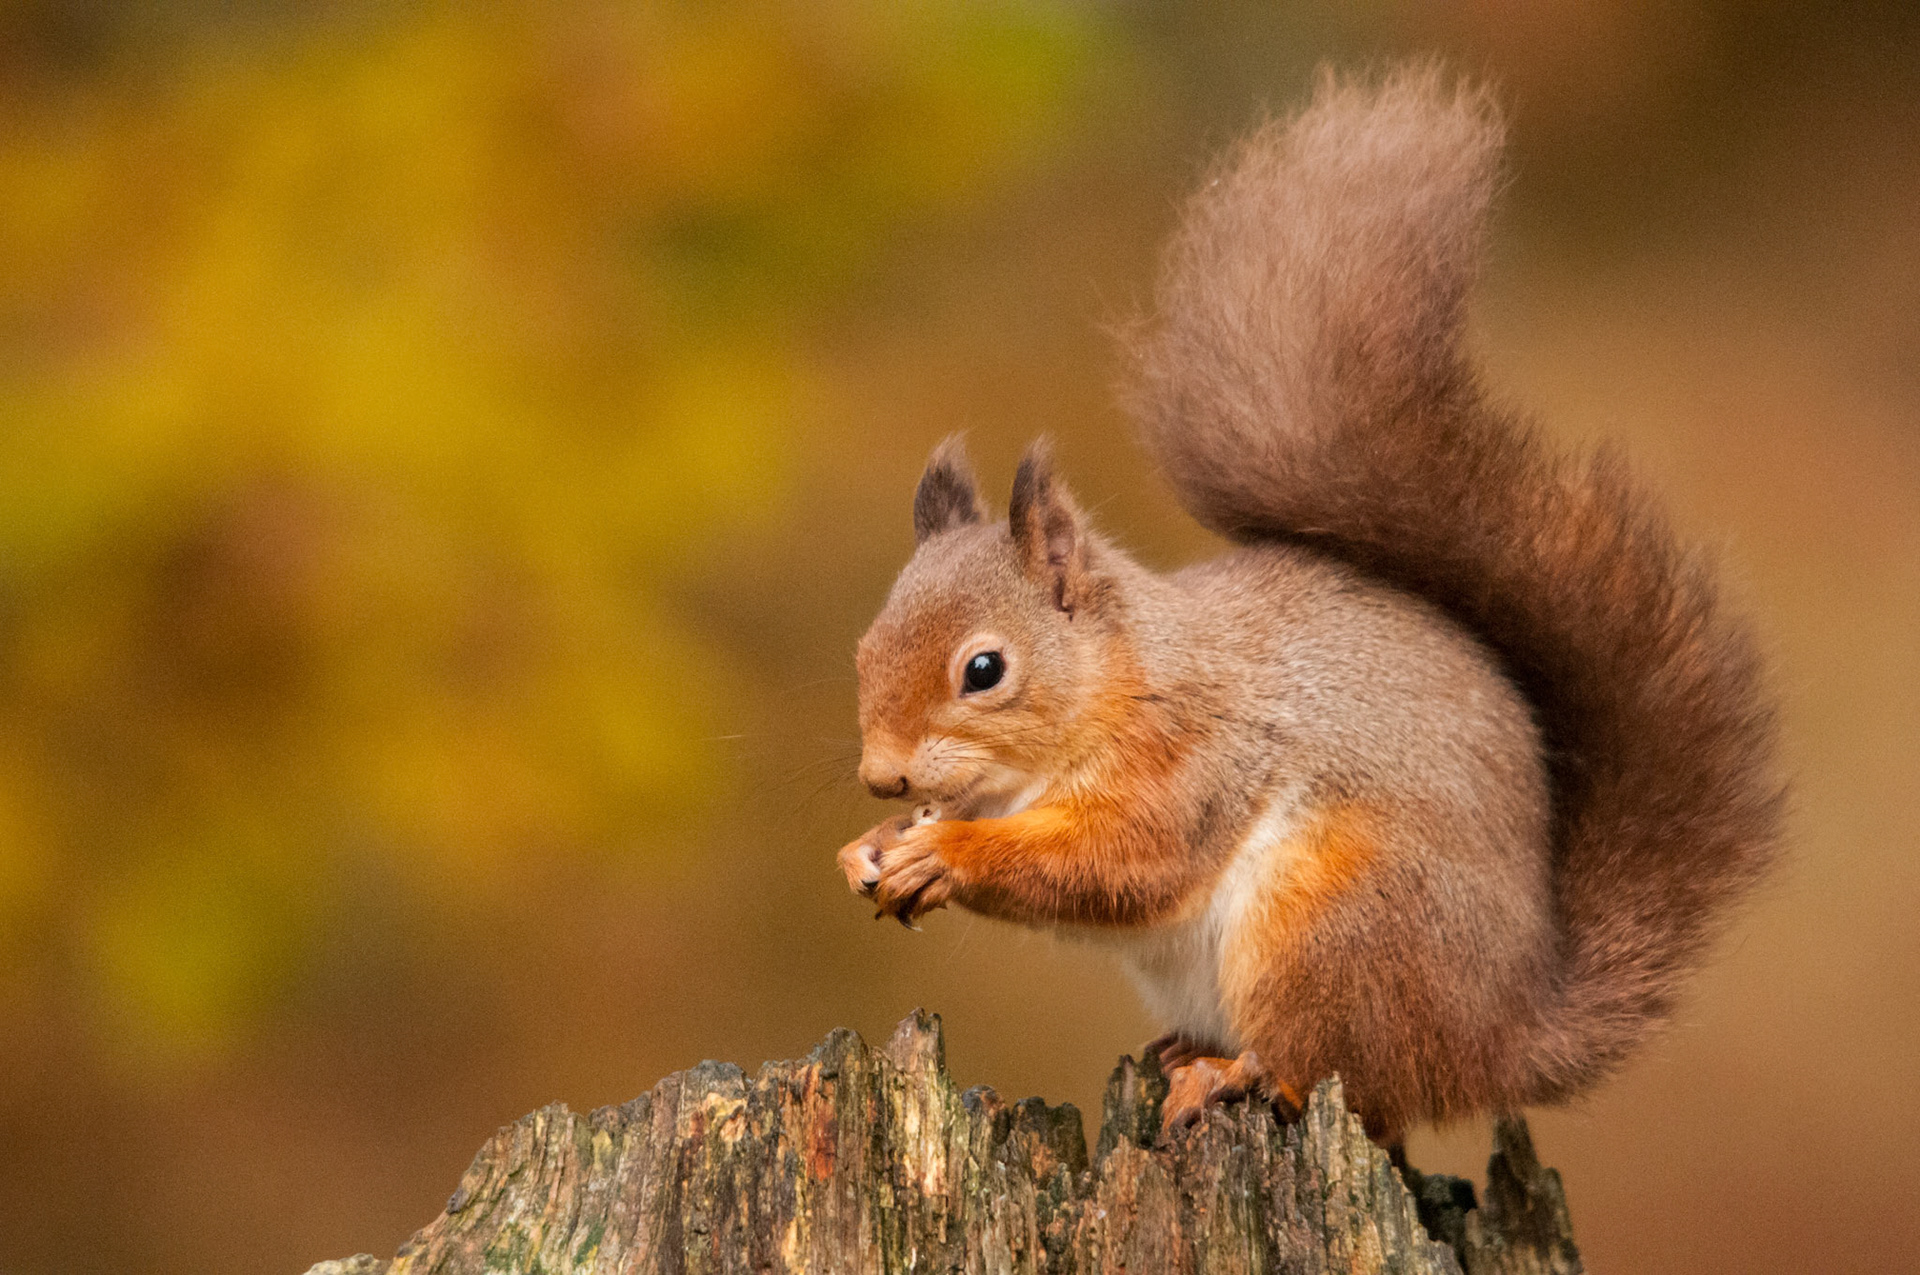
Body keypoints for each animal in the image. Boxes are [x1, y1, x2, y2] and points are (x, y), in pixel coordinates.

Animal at [833, 65, 1781, 1146]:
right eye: (863, 651)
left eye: (984, 670)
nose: (881, 778)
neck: (1123, 677)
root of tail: (1497, 1040)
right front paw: (868, 851)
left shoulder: (1193, 758)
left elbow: (1123, 862)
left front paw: (943, 852)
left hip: (1333, 922)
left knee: (1329, 1071)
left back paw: (1231, 1074)